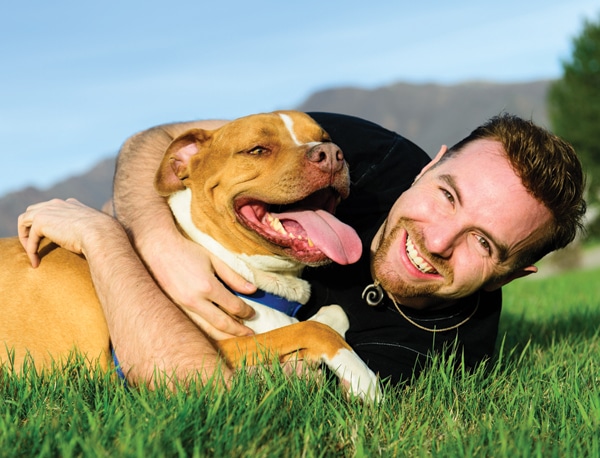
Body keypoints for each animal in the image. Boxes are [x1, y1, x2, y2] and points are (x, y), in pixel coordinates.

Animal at [0, 111, 380, 400]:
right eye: (257, 149)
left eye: (325, 137)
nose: (331, 153)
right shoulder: (215, 353)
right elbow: (314, 330)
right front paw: (364, 381)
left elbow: (330, 316)